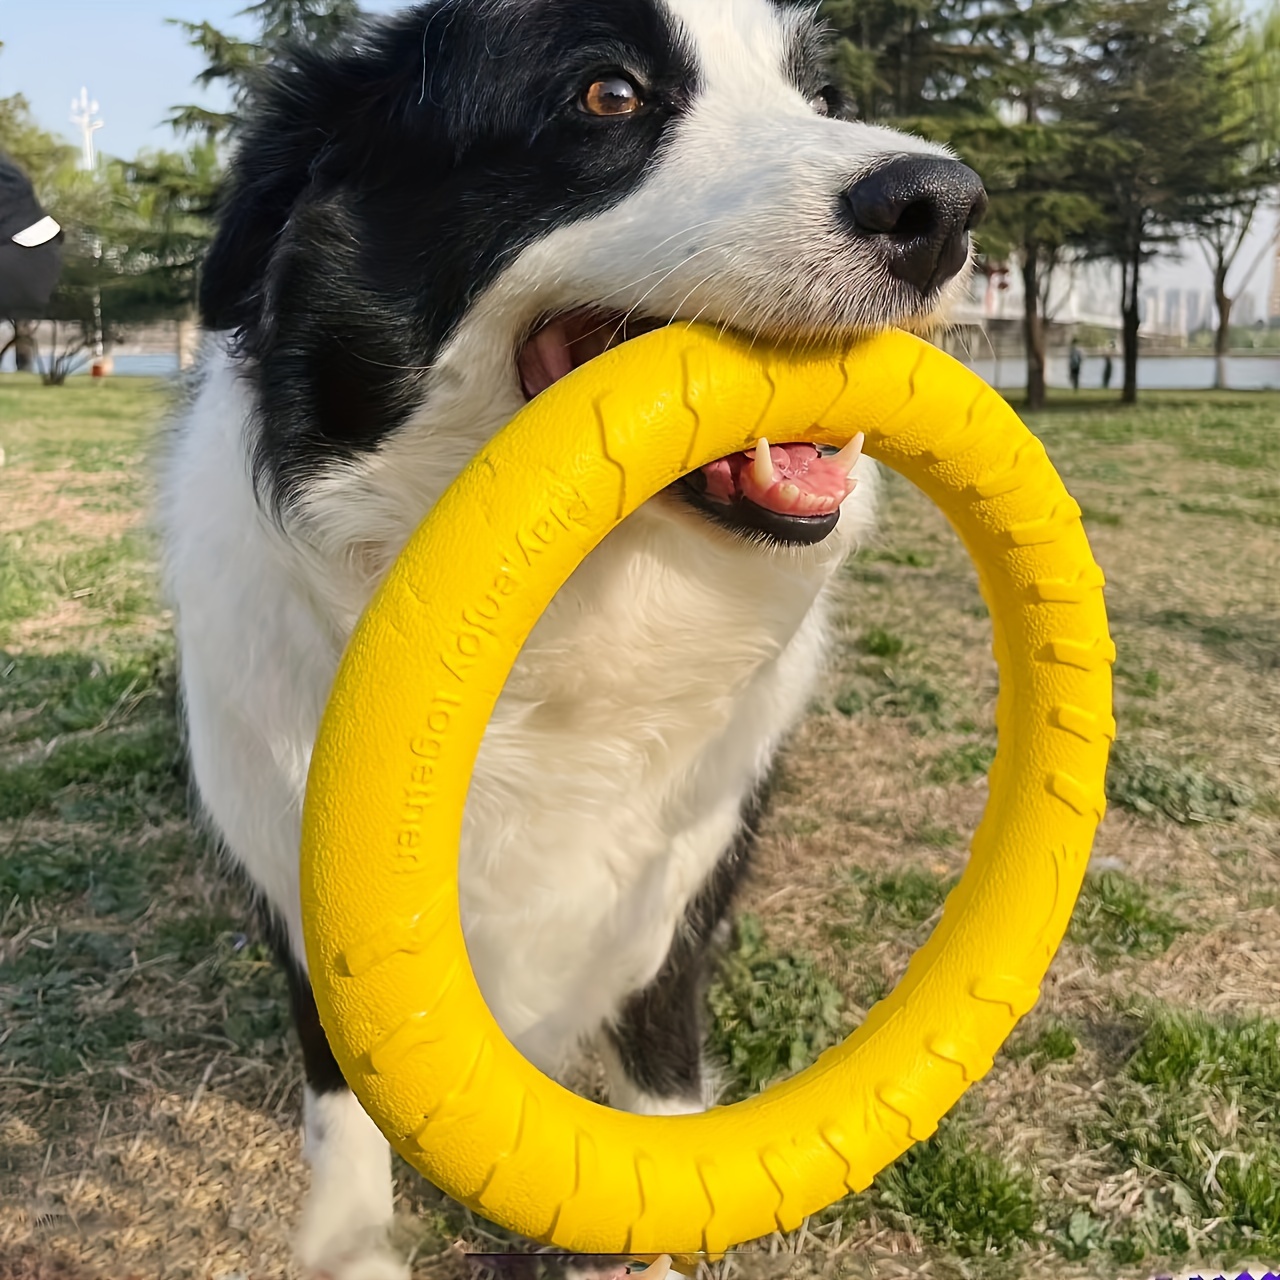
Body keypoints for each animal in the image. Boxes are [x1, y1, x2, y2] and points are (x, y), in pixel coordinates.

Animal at [157, 0, 977, 1274]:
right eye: (607, 95)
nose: (940, 204)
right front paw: (350, 1240)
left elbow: (663, 1093)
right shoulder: (304, 898)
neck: (560, 650)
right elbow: (343, 1108)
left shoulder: (673, 907)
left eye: (821, 98)